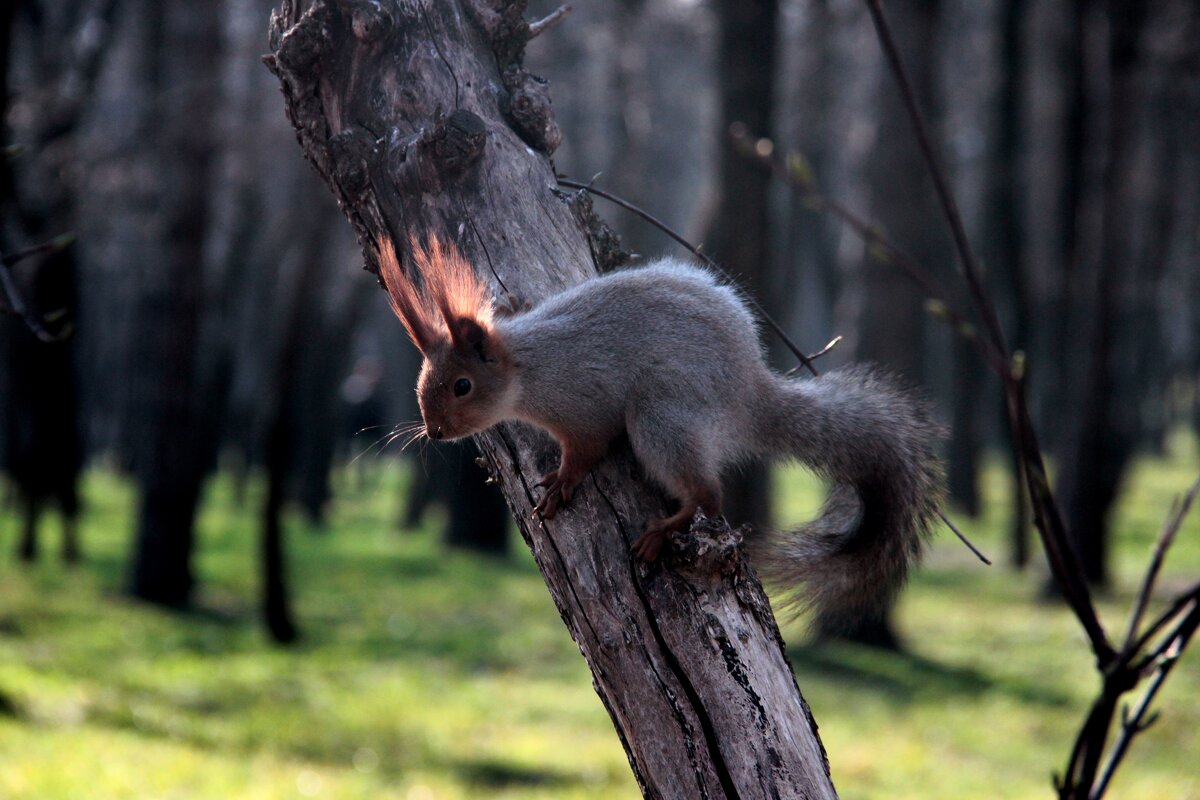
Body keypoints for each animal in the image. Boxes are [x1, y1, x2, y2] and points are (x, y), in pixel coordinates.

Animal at [379, 235, 940, 623]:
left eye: (463, 386)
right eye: (424, 381)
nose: (434, 431)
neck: (529, 364)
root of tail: (750, 392)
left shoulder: (584, 403)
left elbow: (587, 449)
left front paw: (562, 483)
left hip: (660, 418)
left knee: (708, 495)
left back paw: (666, 529)